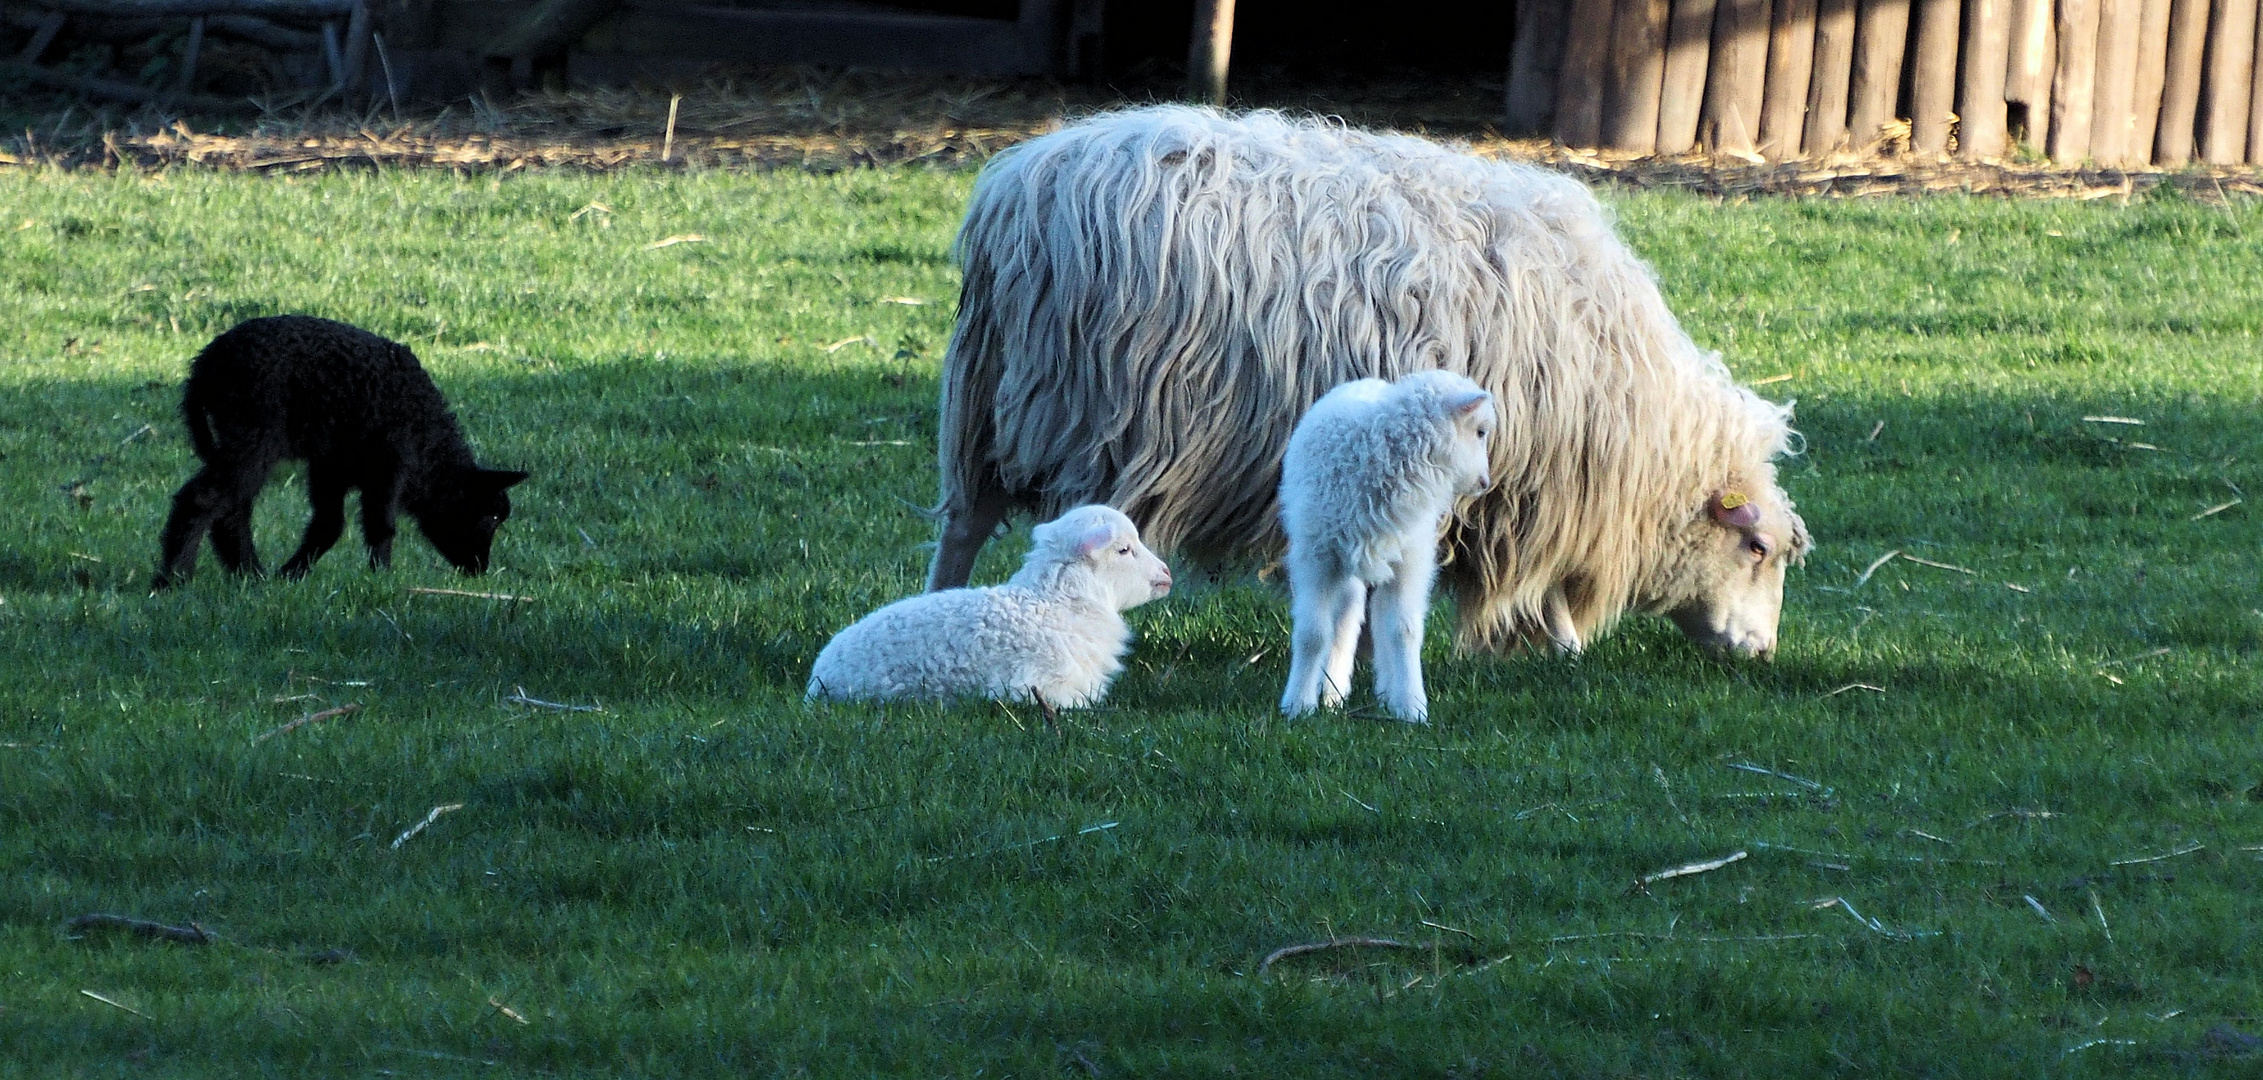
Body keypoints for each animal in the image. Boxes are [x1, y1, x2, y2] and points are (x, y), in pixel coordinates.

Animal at [150, 314, 529, 588]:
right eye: (492, 517)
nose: (480, 570)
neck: (430, 448)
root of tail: (204, 366)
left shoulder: (331, 467)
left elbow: (329, 524)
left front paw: (292, 575)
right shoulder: (389, 463)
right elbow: (381, 525)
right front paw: (381, 578)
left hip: (238, 434)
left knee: (233, 507)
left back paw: (251, 575)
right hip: (256, 428)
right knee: (204, 499)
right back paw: (174, 579)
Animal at [927, 105, 1810, 656]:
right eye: (1757, 548)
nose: (1761, 651)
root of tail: (1019, 188)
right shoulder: (1533, 487)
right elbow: (1533, 585)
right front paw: (1557, 644)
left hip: (988, 396)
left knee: (965, 520)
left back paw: (934, 608)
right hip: (1091, 409)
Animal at [1285, 371, 1493, 724]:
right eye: (1479, 432)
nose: (1484, 483)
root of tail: (1367, 382)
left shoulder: (1411, 560)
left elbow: (1403, 631)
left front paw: (1411, 707)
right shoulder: (1317, 558)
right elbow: (1313, 634)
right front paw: (1297, 705)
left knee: (1377, 621)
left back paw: (1378, 691)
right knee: (1347, 617)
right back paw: (1333, 694)